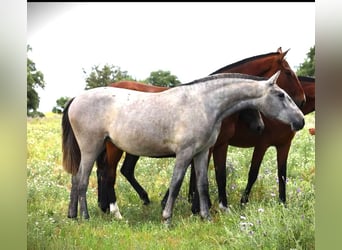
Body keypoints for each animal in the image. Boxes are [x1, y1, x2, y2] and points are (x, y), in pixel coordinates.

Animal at [62, 70, 304, 225]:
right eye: (281, 95)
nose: (300, 121)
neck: (202, 104)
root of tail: (76, 98)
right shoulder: (184, 153)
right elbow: (177, 183)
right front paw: (167, 218)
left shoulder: (202, 152)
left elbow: (203, 184)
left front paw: (206, 217)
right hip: (92, 148)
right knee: (84, 180)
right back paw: (87, 217)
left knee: (76, 179)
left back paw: (73, 216)